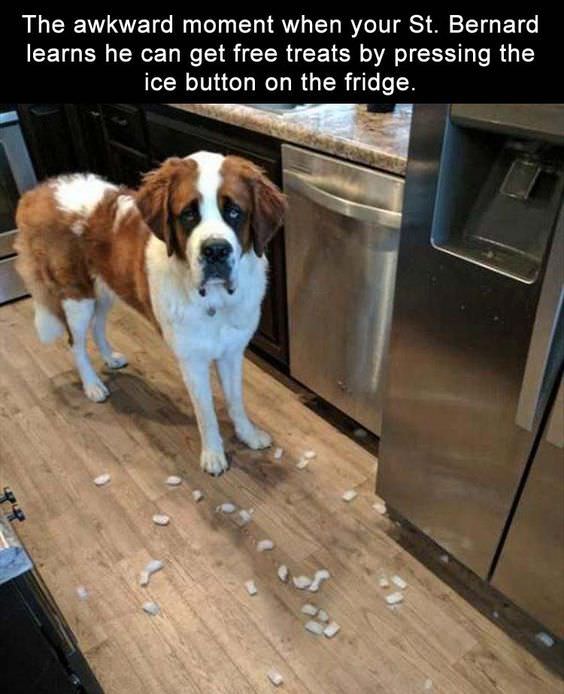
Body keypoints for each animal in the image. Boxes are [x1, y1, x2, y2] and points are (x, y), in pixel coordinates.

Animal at [16, 152, 286, 478]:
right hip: (77, 297)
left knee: (98, 326)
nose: (215, 251)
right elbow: (206, 412)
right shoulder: (192, 362)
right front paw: (213, 455)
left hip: (106, 288)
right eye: (188, 215)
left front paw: (248, 435)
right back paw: (92, 386)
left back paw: (110, 358)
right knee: (76, 343)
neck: (214, 301)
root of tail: (39, 191)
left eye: (234, 212)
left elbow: (236, 400)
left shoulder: (232, 352)